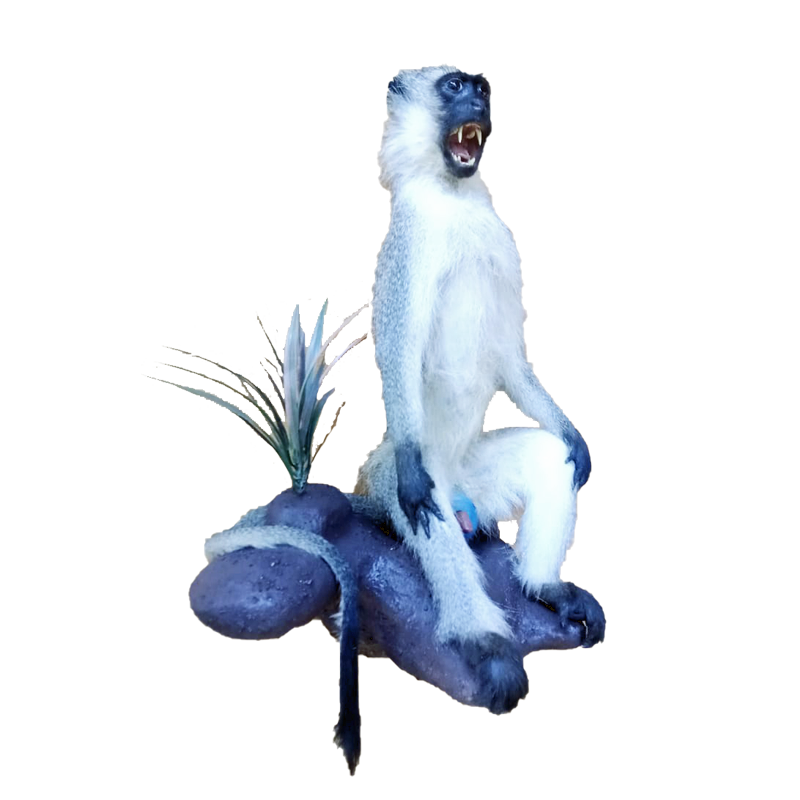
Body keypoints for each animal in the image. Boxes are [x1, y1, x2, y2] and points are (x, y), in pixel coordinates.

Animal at [360, 67, 605, 714]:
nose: (477, 100)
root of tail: (462, 489)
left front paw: (575, 435)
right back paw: (485, 644)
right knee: (430, 515)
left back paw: (546, 588)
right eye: (453, 86)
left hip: (478, 477)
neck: (453, 198)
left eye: (482, 87)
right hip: (399, 479)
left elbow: (508, 356)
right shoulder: (410, 241)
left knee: (548, 460)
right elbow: (397, 354)